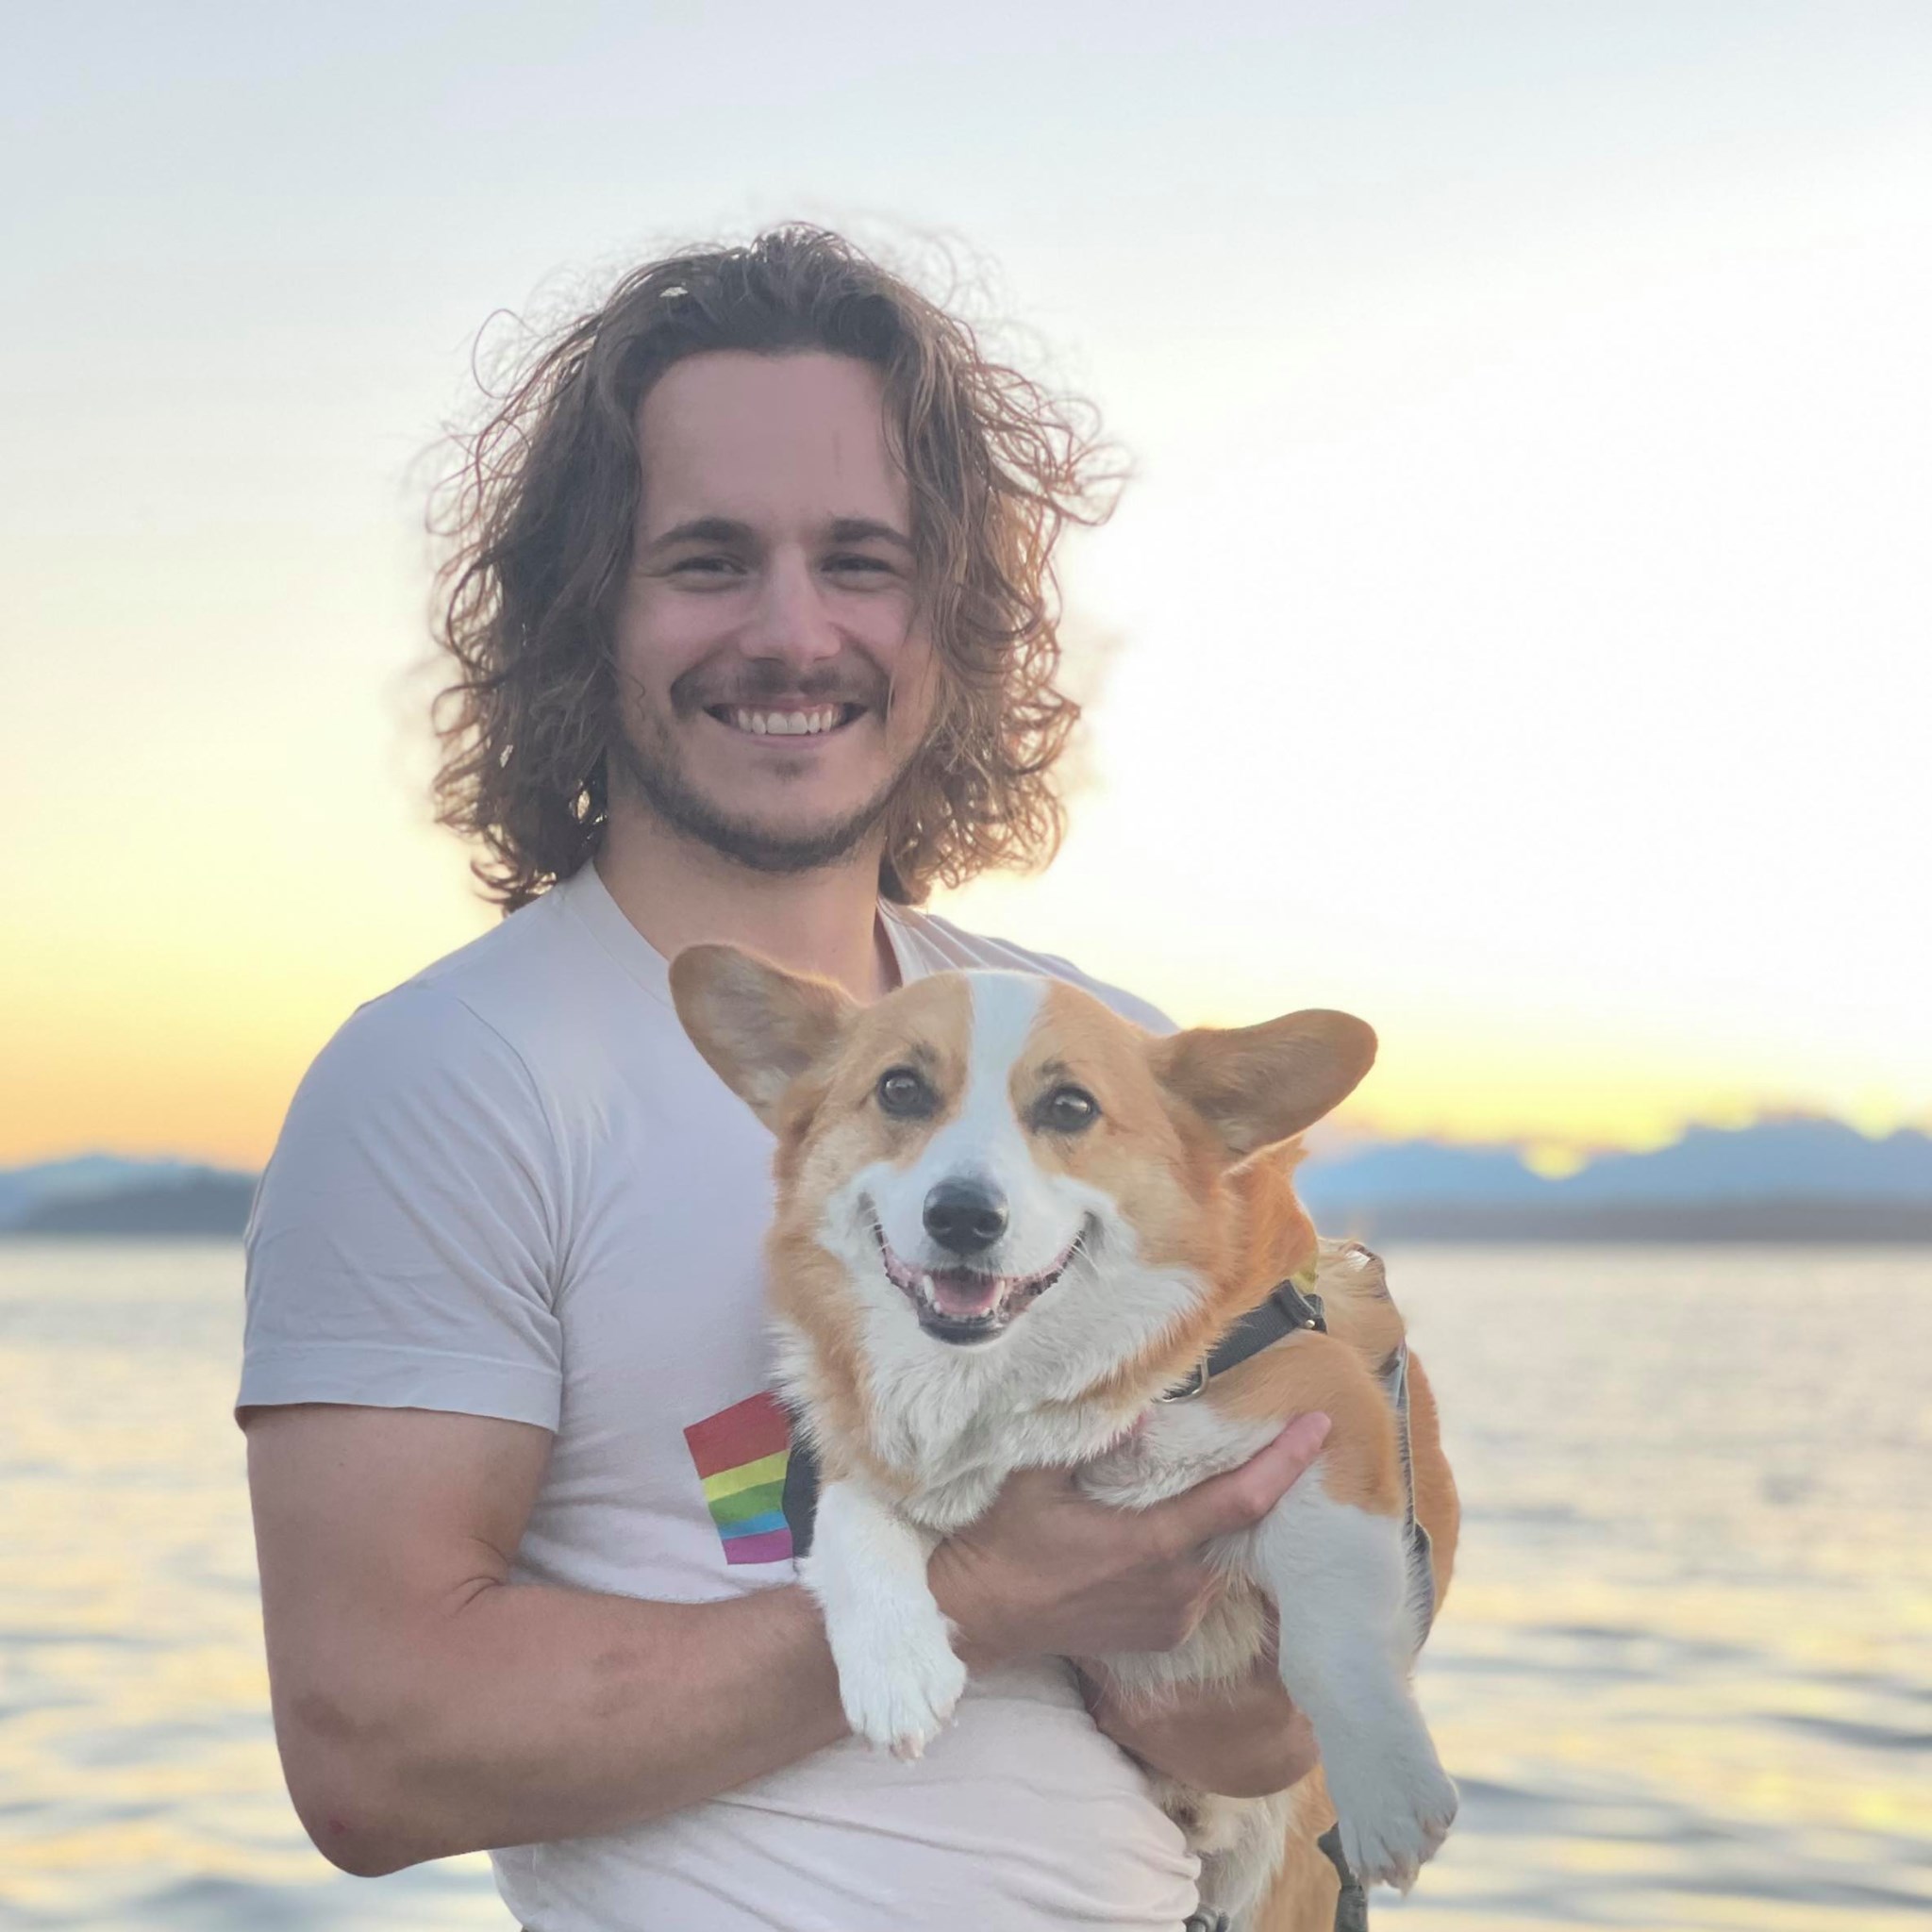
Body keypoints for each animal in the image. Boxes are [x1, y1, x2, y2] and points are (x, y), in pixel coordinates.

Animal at [672, 954, 1453, 1932]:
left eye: (1071, 1107)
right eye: (900, 1088)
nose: (964, 1217)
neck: (1012, 1388)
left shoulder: (1330, 1417)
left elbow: (1330, 1637)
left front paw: (1386, 1790)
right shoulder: (865, 1461)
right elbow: (854, 1527)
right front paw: (895, 1670)